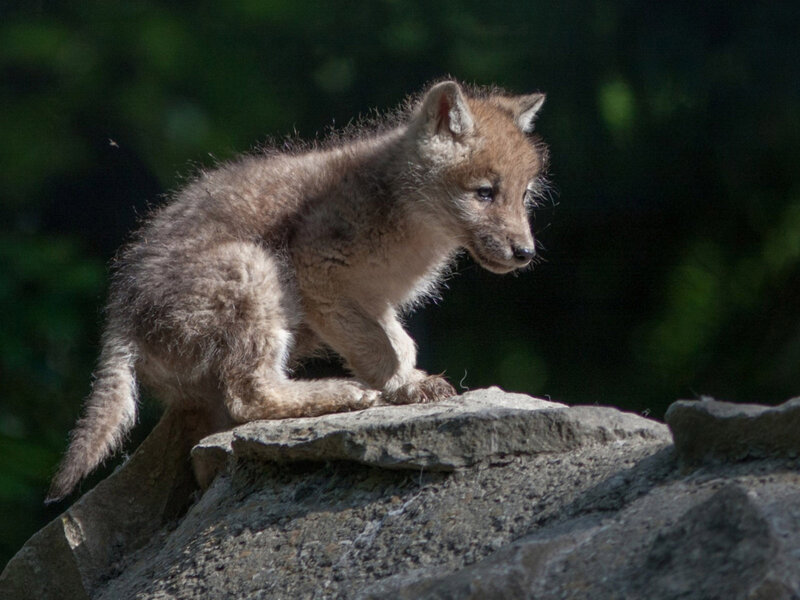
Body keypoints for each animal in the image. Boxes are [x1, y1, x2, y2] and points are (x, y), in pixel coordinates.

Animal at [46, 80, 548, 503]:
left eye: (524, 195)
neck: (413, 222)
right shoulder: (318, 274)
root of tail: (121, 319)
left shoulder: (371, 300)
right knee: (249, 396)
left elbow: (399, 343)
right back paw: (342, 394)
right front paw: (403, 388)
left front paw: (410, 380)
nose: (525, 253)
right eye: (484, 193)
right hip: (256, 272)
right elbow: (381, 350)